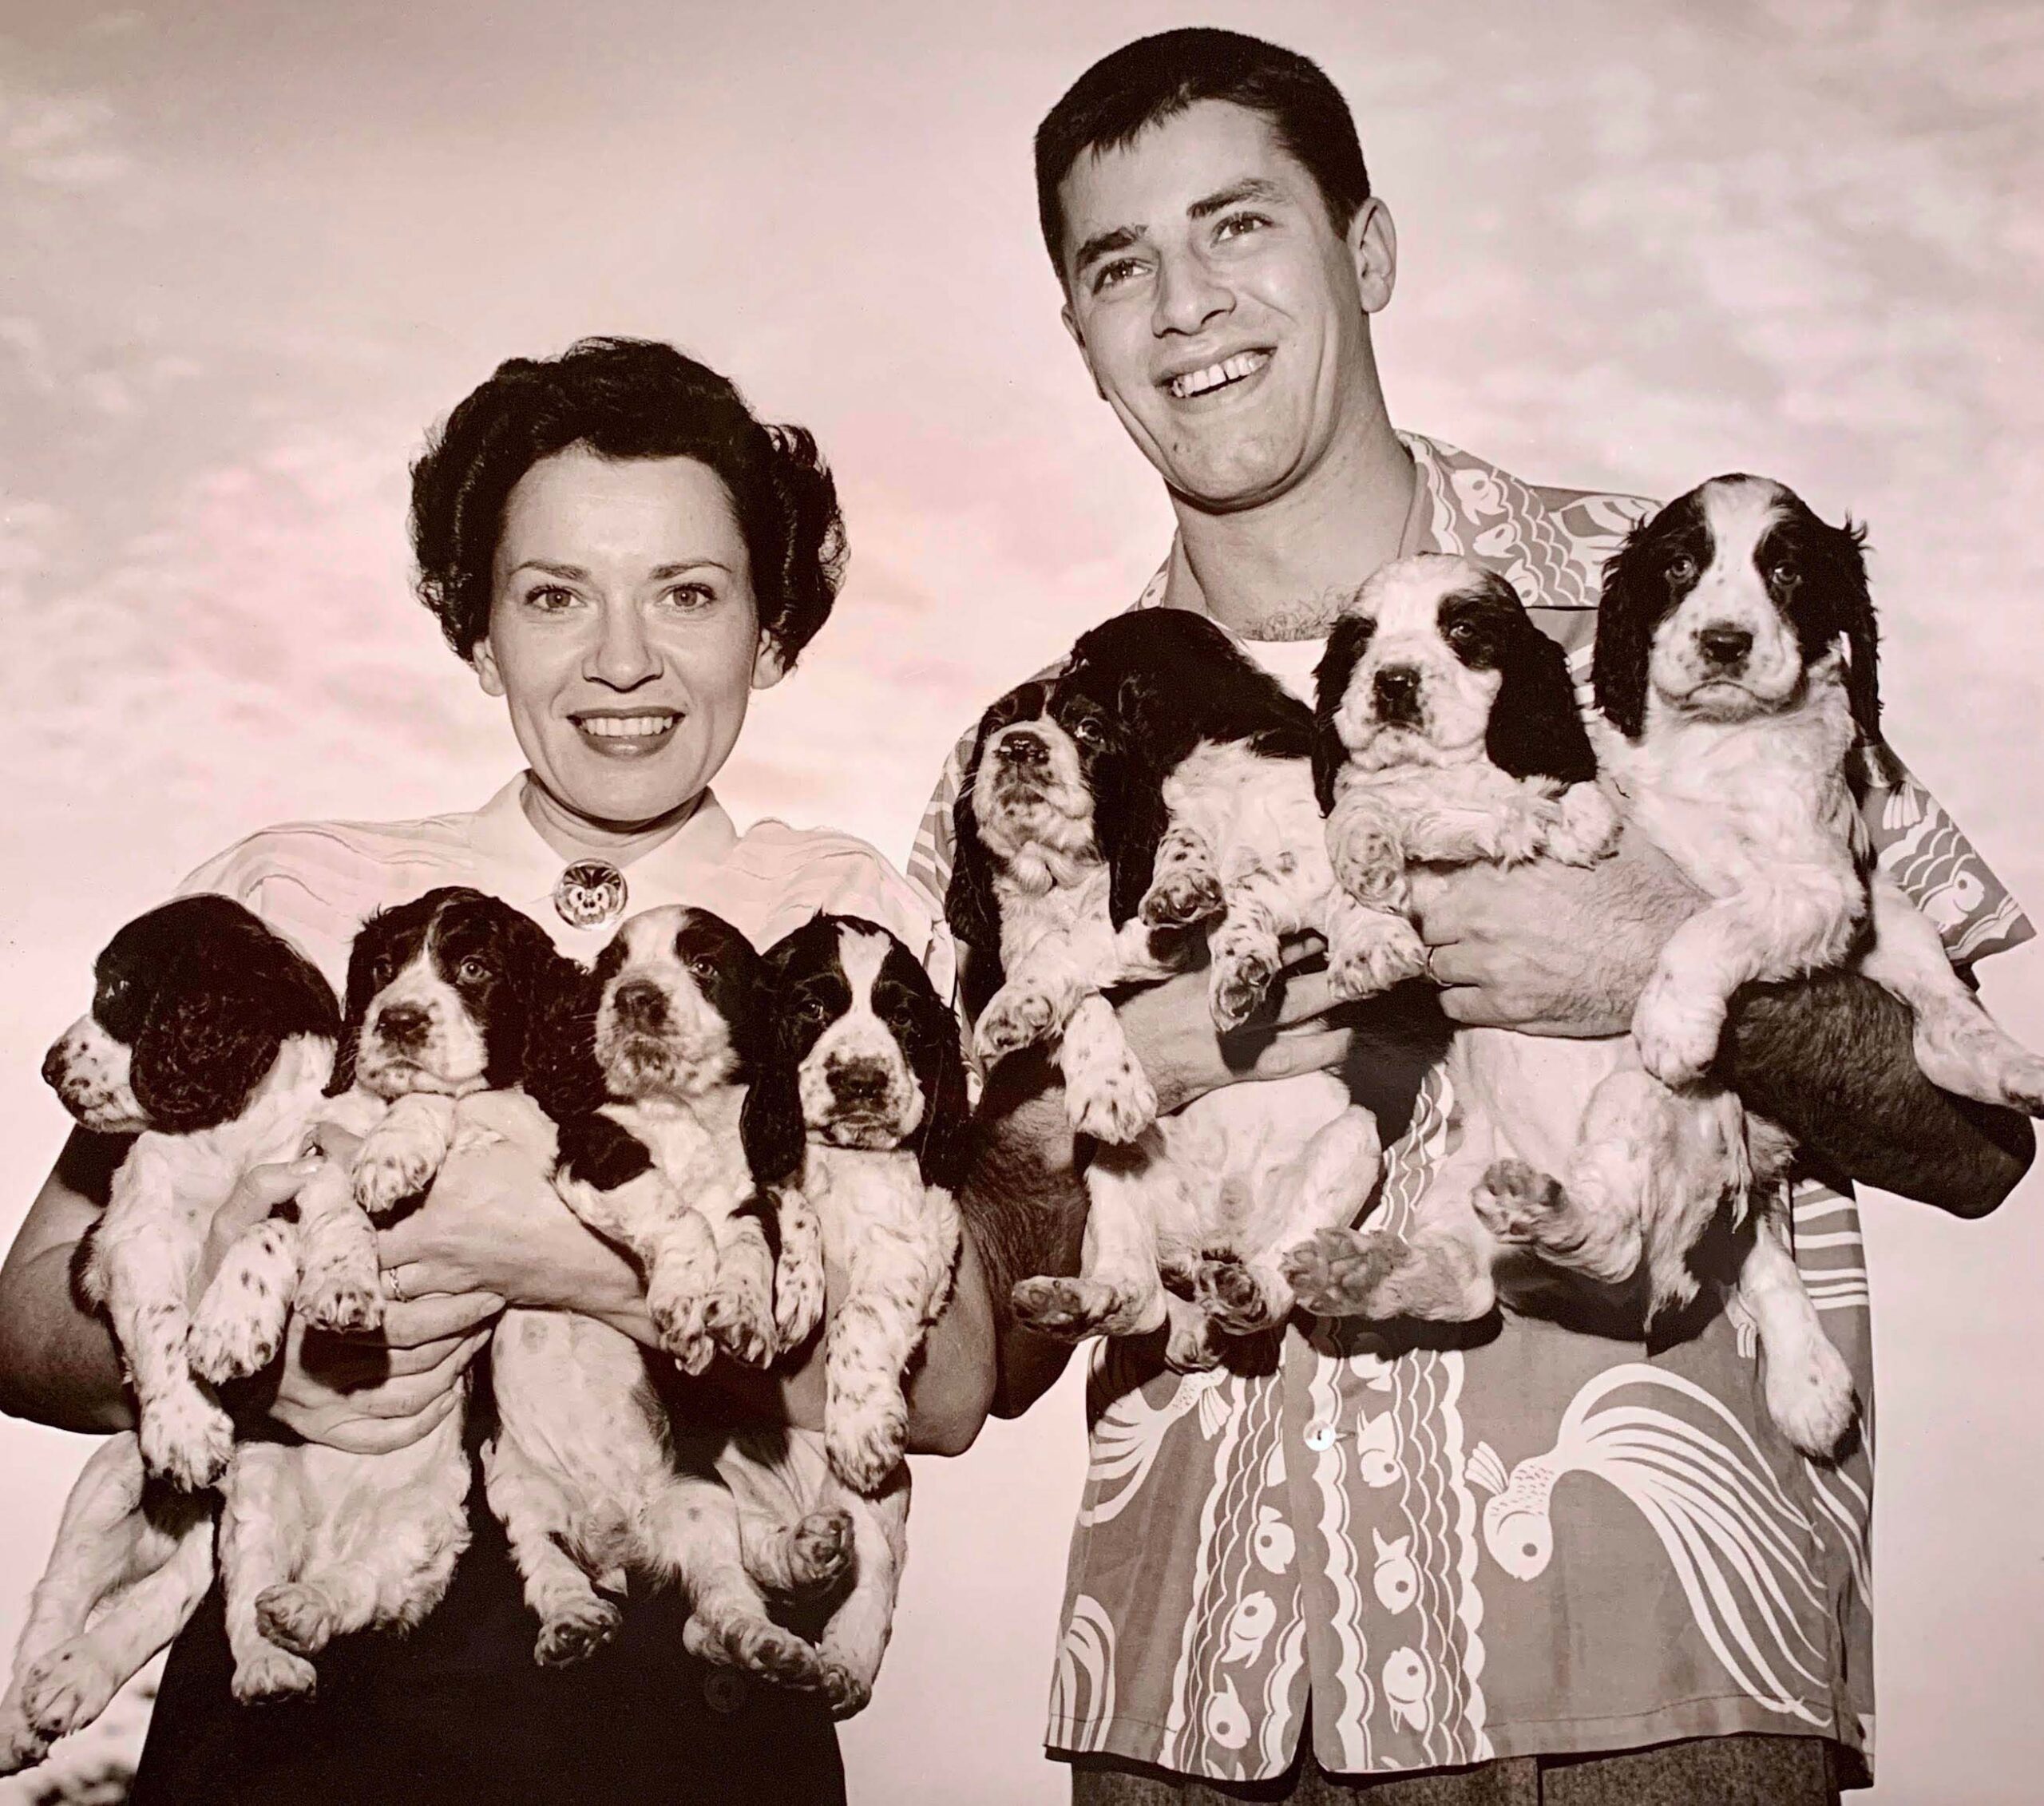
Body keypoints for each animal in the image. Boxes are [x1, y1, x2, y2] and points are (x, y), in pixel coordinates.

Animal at [948, 620, 1381, 1364]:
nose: (1020, 745)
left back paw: (1246, 1290)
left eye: (1089, 726)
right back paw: (1077, 1302)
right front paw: (1093, 1070)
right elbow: (1074, 981)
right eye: (995, 725)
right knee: (1139, 1297)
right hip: (1109, 1176)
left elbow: (1221, 895)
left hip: (1355, 1143)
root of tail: (1219, 1235)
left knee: (1286, 1276)